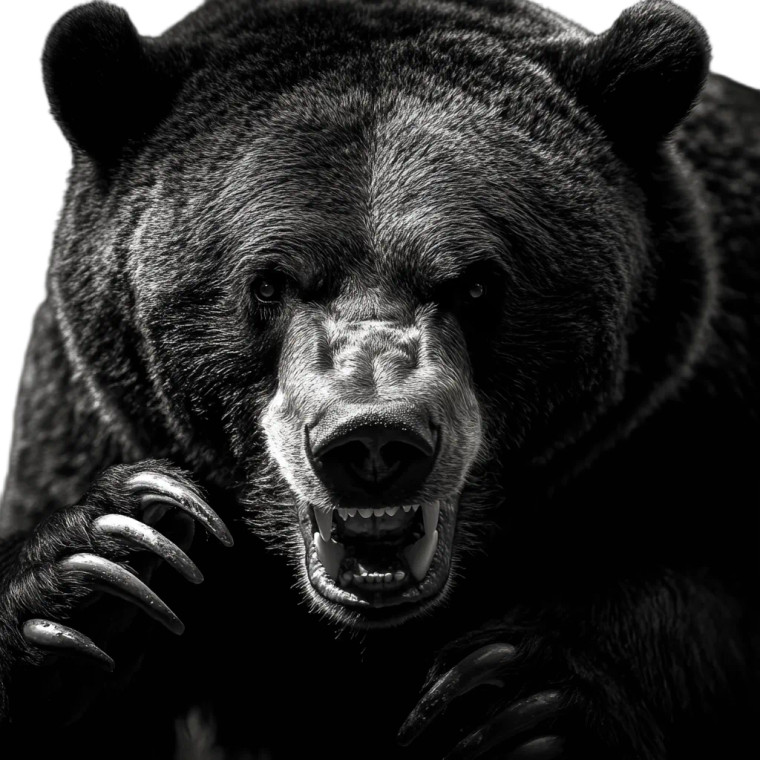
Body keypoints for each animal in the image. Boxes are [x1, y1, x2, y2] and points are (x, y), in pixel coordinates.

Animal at [0, 0, 757, 757]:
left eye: (476, 283)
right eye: (268, 283)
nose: (372, 440)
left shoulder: (688, 410)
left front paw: (513, 695)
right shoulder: (76, 419)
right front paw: (107, 562)